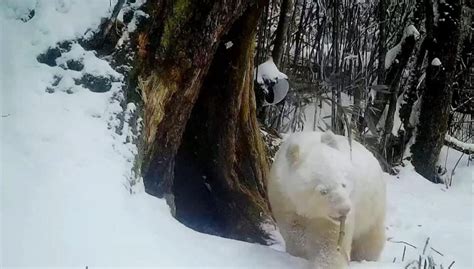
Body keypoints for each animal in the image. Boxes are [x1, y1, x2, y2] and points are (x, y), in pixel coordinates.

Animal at [266, 129, 386, 266]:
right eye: (323, 191)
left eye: (343, 184)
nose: (344, 210)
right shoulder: (284, 198)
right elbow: (293, 230)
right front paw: (299, 253)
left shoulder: (328, 218)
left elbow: (329, 241)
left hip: (373, 206)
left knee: (369, 238)